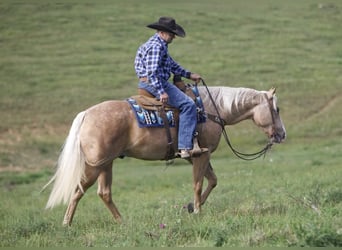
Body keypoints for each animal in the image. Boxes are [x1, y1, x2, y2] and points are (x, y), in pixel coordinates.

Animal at [45, 85, 286, 226]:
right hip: (94, 165)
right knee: (78, 190)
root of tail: (86, 114)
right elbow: (199, 183)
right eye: (277, 109)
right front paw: (197, 211)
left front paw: (191, 207)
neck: (210, 110)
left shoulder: (198, 156)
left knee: (104, 193)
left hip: (107, 164)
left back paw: (122, 222)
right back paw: (67, 223)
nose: (282, 134)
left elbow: (213, 181)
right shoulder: (200, 155)